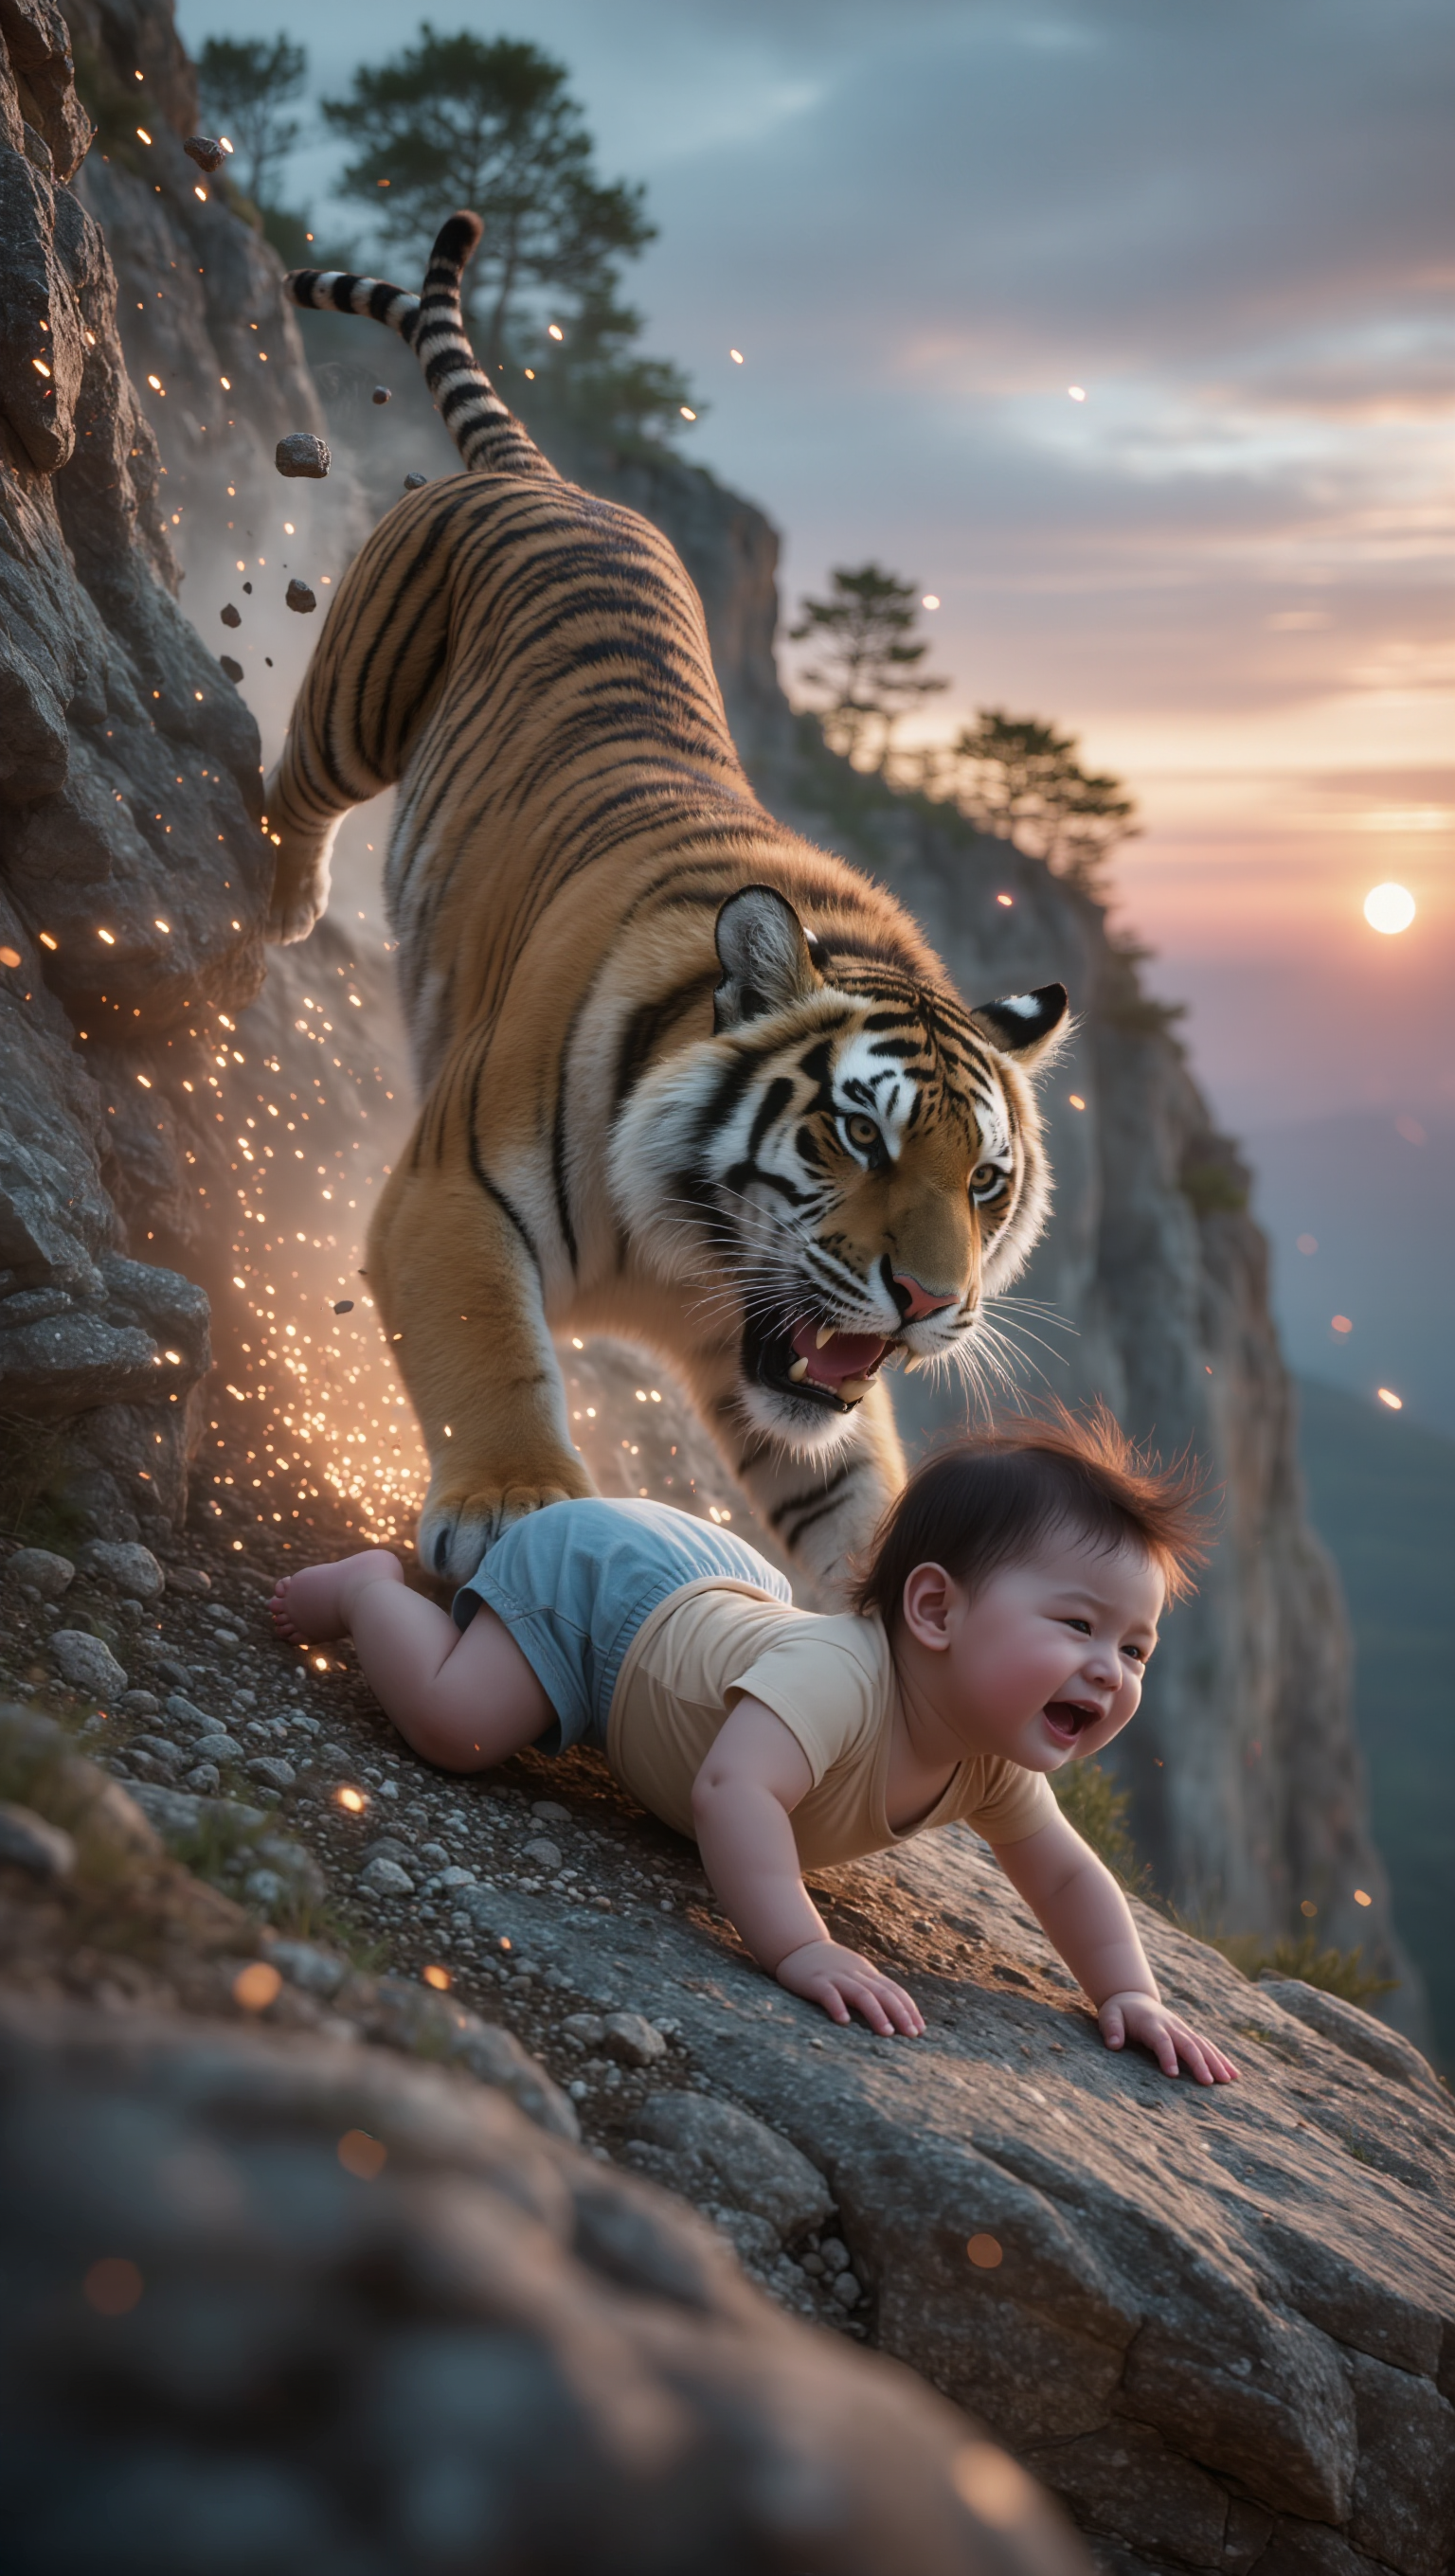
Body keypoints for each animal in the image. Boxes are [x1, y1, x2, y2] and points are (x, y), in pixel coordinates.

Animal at [268, 211, 1068, 1594]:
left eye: (985, 1183)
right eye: (860, 1136)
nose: (930, 1304)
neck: (686, 1253)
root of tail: (549, 476)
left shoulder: (779, 1362)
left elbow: (854, 1487)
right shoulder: (450, 1194)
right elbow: (492, 1352)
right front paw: (516, 1504)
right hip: (355, 705)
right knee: (291, 787)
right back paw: (277, 898)